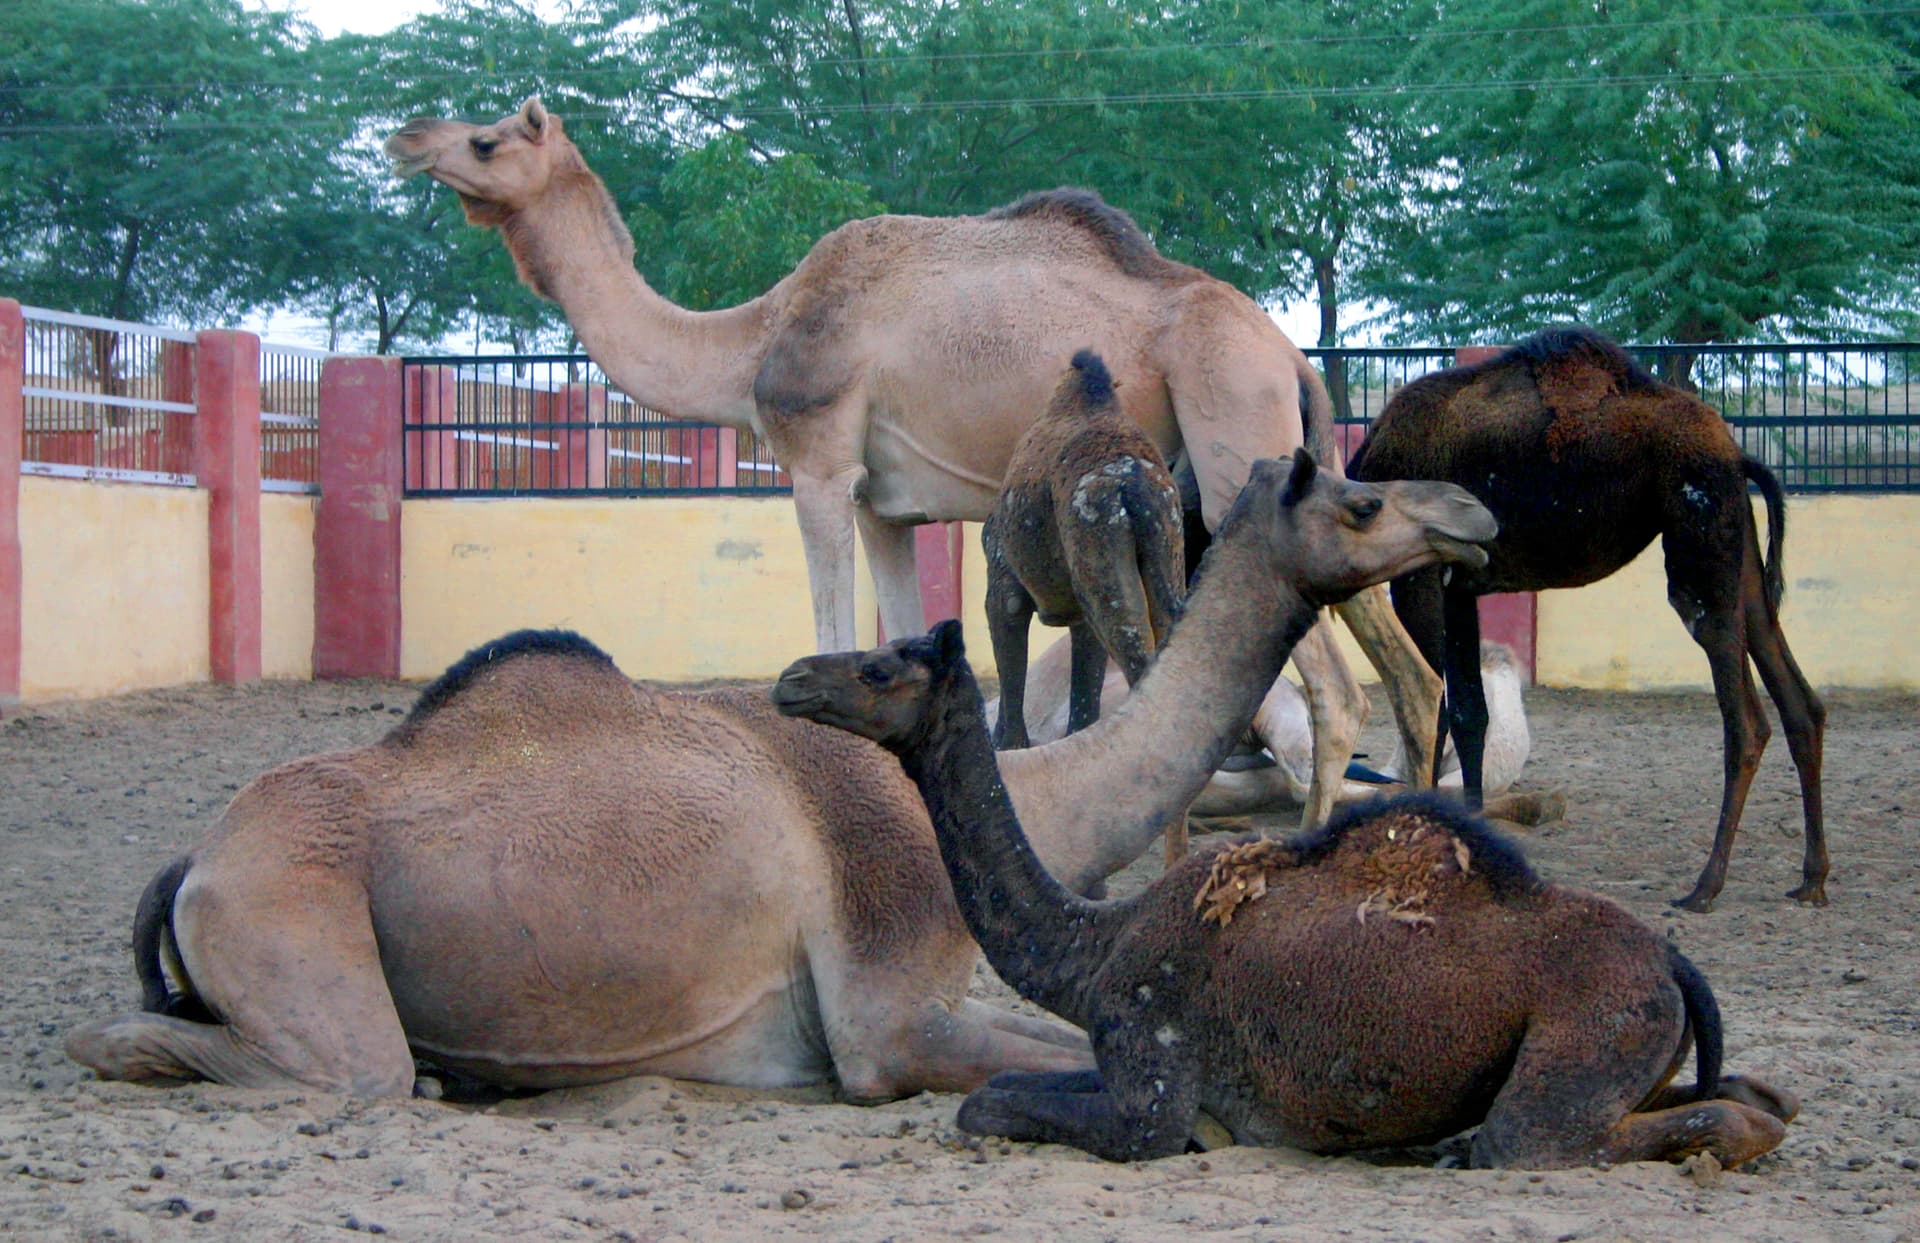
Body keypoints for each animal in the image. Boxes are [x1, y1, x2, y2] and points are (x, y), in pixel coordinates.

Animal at [67, 453, 1495, 1100]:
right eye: (1361, 502)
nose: (1474, 513)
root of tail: (197, 860)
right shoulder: (880, 1018)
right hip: (293, 917)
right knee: (319, 1064)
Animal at [776, 619, 1799, 1168]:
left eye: (879, 666)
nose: (790, 678)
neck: (1094, 950)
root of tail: (1671, 964)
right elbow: (1003, 1085)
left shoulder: (1151, 1067)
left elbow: (994, 1103)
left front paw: (1213, 1138)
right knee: (1754, 1090)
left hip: (1589, 1030)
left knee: (1543, 1136)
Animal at [982, 350, 1184, 755]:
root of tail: (1133, 483)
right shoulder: (1079, 609)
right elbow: (1084, 688)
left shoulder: (1003, 585)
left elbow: (1011, 669)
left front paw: (1008, 746)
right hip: (1164, 549)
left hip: (1101, 555)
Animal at [1347, 326, 1827, 912]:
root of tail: (1737, 455)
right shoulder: (1461, 585)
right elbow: (1468, 713)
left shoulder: (1421, 575)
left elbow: (1439, 705)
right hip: (1741, 559)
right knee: (1801, 703)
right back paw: (1812, 879)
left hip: (1700, 548)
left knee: (1747, 724)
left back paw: (1705, 886)